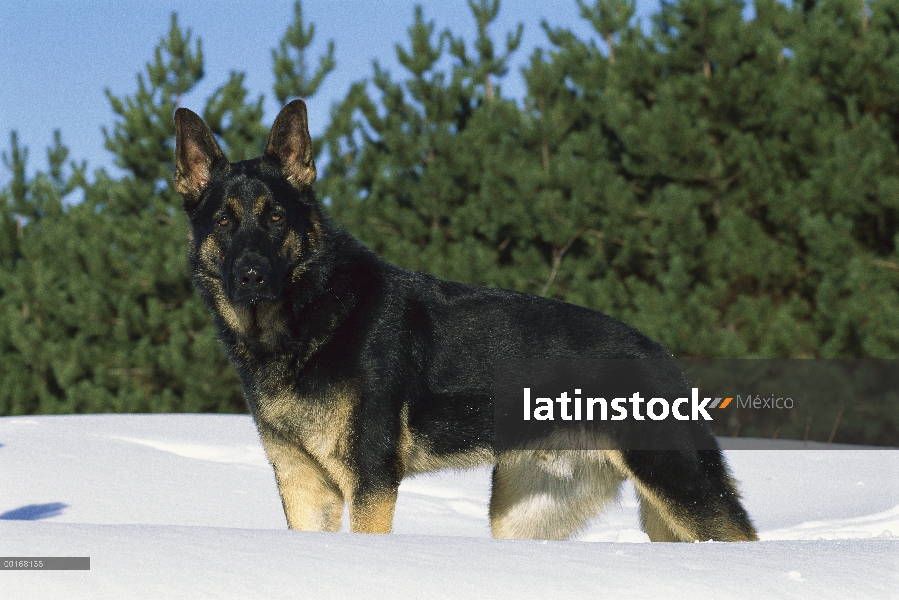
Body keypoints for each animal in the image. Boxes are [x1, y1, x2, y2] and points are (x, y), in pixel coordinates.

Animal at [172, 101, 756, 540]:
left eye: (275, 218)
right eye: (223, 223)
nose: (250, 277)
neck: (307, 318)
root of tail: (662, 356)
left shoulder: (370, 482)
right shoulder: (302, 486)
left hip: (684, 490)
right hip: (524, 516)